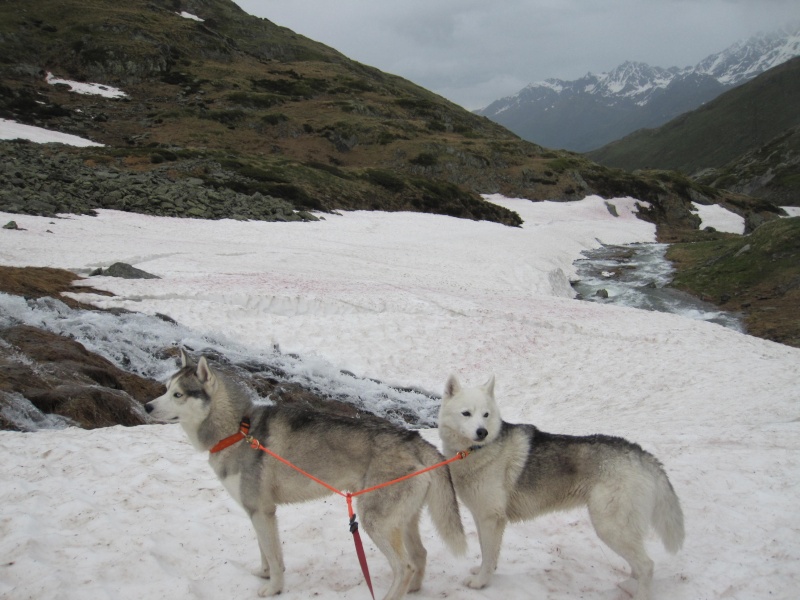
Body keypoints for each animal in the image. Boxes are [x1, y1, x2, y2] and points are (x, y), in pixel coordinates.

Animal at [147, 352, 466, 600]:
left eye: (178, 394)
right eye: (165, 388)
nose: (148, 406)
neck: (237, 429)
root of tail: (417, 441)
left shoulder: (262, 511)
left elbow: (274, 557)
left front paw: (273, 588)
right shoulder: (257, 513)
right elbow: (265, 552)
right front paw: (263, 574)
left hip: (374, 521)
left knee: (404, 566)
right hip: (403, 521)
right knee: (420, 556)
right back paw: (412, 590)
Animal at [440, 376, 684, 600]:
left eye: (486, 415)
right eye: (466, 414)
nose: (482, 432)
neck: (476, 451)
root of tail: (640, 452)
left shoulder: (491, 519)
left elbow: (489, 555)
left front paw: (481, 582)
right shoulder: (483, 518)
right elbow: (486, 552)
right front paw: (482, 572)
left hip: (610, 527)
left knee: (646, 565)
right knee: (638, 566)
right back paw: (629, 587)